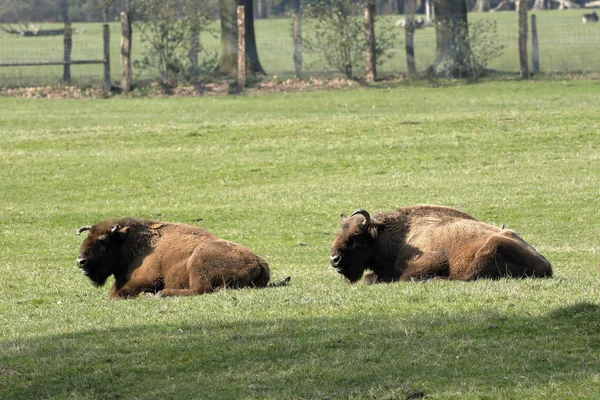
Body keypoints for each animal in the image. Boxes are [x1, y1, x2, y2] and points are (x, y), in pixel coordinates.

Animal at [76, 217, 290, 298]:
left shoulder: (146, 279)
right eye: (88, 237)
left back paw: (162, 294)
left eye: (102, 241)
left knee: (199, 290)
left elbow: (116, 293)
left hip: (197, 265)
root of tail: (258, 261)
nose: (80, 261)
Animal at [330, 205, 552, 282]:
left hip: (492, 248)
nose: (334, 259)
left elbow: (404, 277)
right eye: (338, 233)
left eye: (356, 236)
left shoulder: (430, 262)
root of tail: (547, 266)